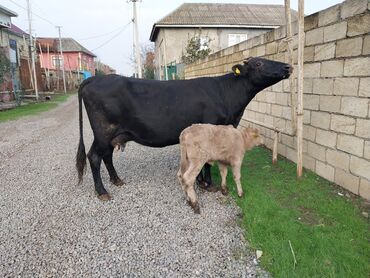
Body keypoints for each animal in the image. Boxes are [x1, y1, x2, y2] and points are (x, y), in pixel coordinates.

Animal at [76, 56, 294, 200]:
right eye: (258, 63)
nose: (288, 66)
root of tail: (94, 79)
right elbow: (208, 162)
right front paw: (208, 184)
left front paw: (201, 181)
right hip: (104, 131)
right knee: (94, 157)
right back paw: (102, 192)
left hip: (111, 134)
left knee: (106, 155)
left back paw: (116, 180)